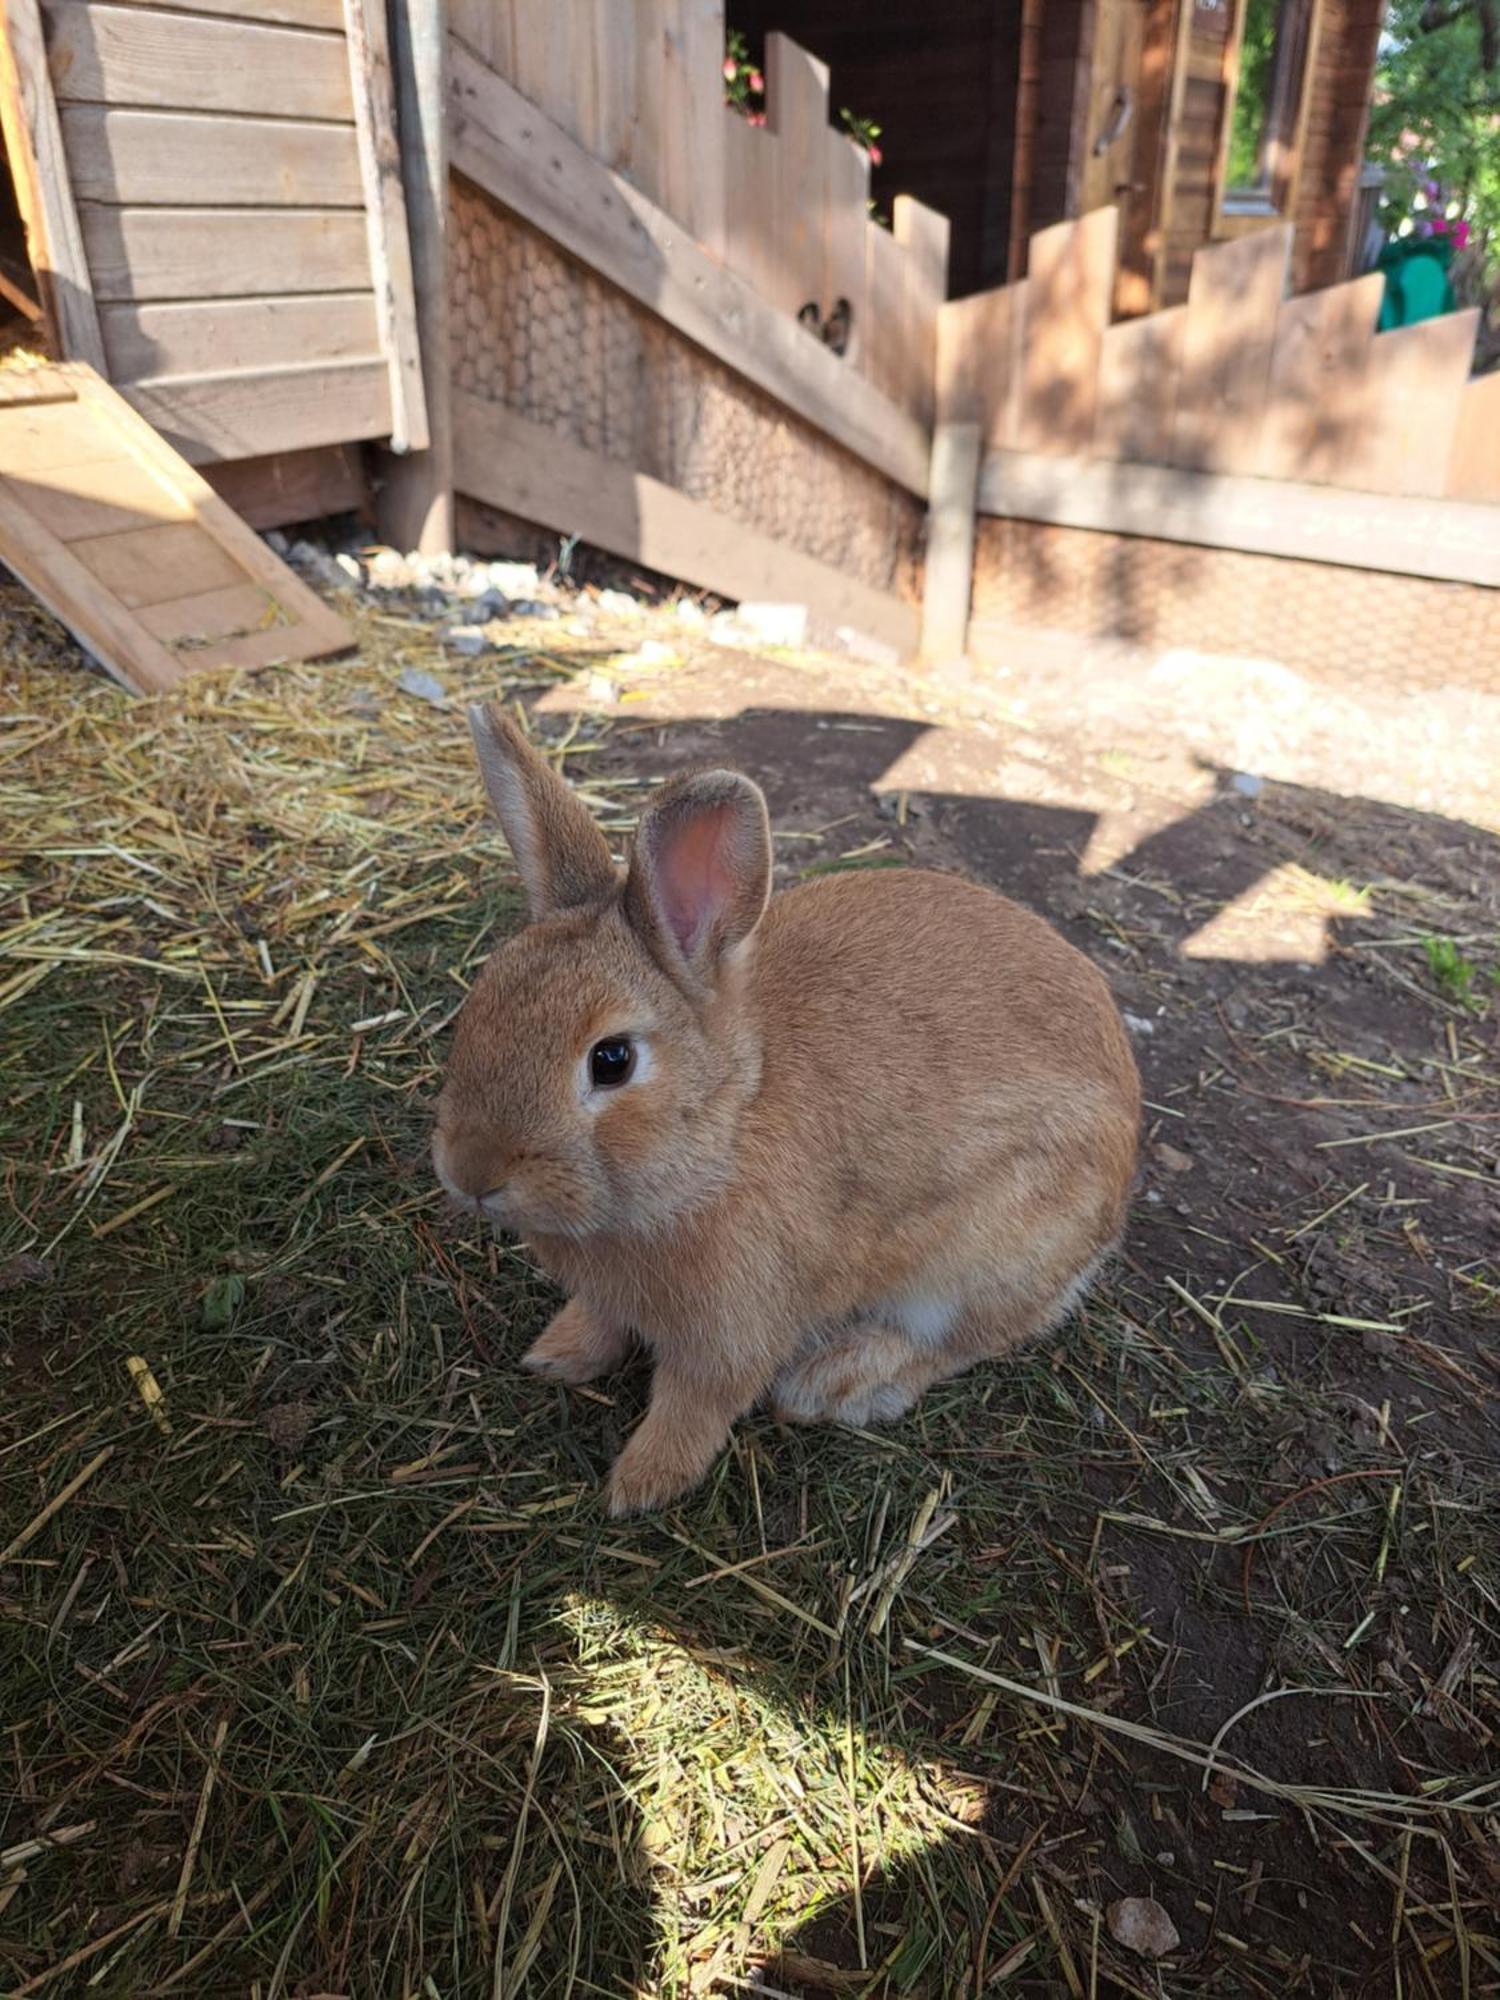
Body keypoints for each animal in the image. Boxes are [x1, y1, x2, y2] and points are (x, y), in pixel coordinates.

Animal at [432, 712, 1136, 1504]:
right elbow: (603, 1324)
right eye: (480, 1002)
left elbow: (694, 1406)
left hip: (990, 1257)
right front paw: (556, 1356)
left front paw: (640, 1486)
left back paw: (836, 1384)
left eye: (611, 1061)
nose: (470, 1174)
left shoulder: (733, 1332)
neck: (726, 1130)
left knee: (965, 1340)